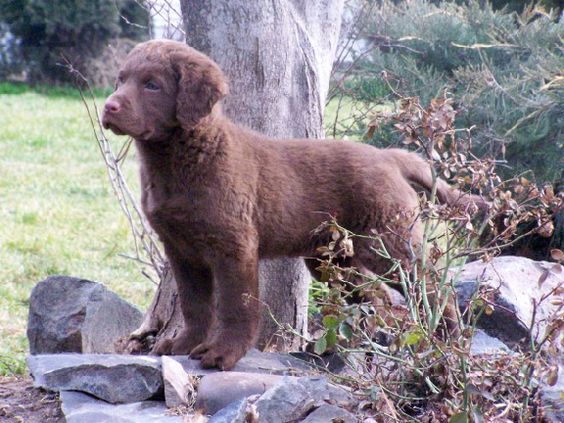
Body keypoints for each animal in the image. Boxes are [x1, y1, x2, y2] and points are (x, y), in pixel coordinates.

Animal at [102, 39, 480, 372]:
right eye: (120, 79)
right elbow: (195, 305)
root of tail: (388, 157)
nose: (108, 107)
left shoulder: (234, 245)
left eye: (152, 85)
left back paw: (447, 342)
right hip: (332, 259)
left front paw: (223, 354)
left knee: (433, 290)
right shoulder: (179, 248)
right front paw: (182, 344)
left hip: (389, 242)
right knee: (376, 297)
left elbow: (236, 306)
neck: (184, 158)